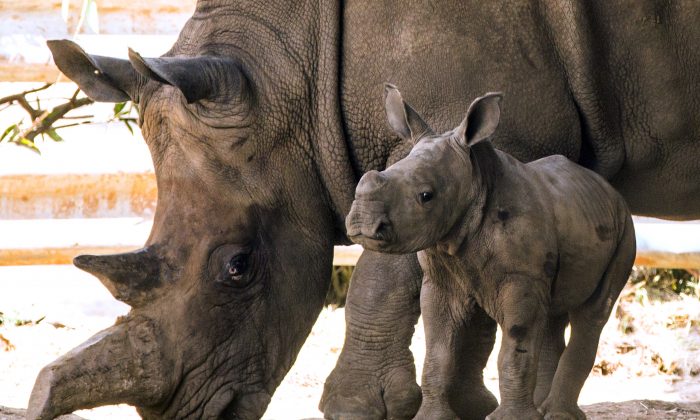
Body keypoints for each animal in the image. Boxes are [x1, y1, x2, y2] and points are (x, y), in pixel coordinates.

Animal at [348, 86, 636, 420]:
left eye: (426, 196)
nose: (362, 222)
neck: (475, 182)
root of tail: (609, 190)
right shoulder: (440, 278)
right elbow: (437, 351)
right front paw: (432, 417)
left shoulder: (520, 277)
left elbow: (516, 346)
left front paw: (512, 419)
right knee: (552, 315)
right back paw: (542, 410)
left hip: (625, 230)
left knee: (591, 313)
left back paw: (556, 414)